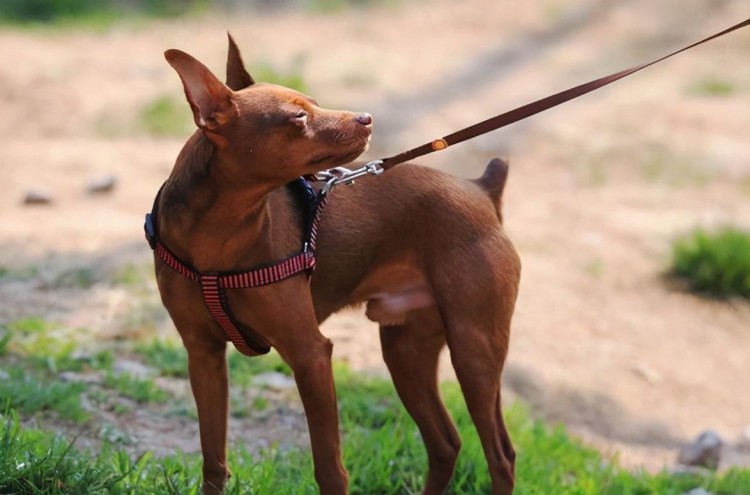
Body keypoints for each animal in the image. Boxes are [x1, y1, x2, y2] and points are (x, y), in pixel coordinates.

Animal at [150, 35, 520, 495]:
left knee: (500, 455)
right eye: (298, 117)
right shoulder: (203, 354)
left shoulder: (310, 354)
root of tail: (481, 190)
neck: (217, 235)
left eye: (313, 102)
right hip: (406, 351)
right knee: (446, 443)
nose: (366, 118)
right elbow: (213, 458)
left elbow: (329, 467)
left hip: (474, 350)